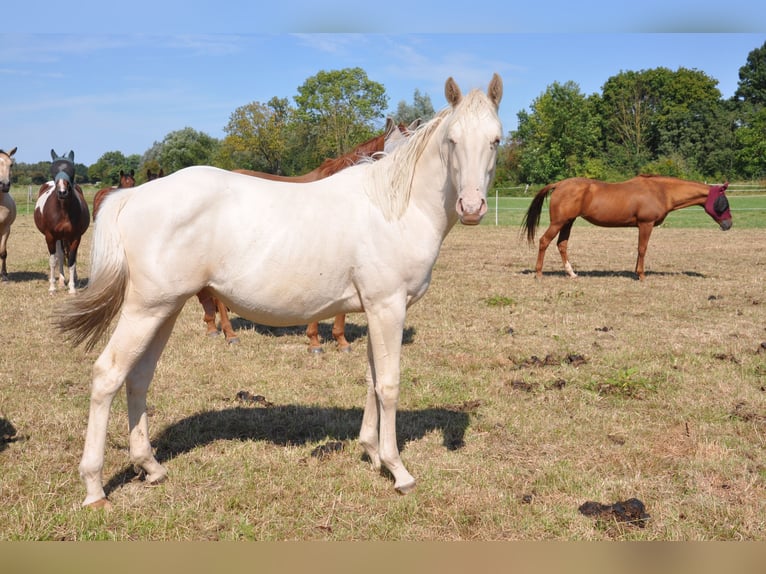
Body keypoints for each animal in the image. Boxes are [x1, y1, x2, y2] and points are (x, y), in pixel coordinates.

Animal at [34, 150, 91, 294]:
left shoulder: (75, 237)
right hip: (58, 238)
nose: (62, 192)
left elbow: (71, 260)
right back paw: (60, 281)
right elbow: (53, 260)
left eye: (72, 170)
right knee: (59, 255)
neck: (63, 211)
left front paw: (72, 288)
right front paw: (52, 288)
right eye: (53, 170)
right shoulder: (50, 237)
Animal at [521, 175, 733, 280]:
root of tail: (558, 184)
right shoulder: (646, 224)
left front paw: (635, 271)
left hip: (568, 222)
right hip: (558, 222)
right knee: (544, 241)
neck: (661, 191)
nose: (729, 224)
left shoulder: (642, 226)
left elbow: (639, 250)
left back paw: (572, 273)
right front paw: (641, 275)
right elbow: (642, 249)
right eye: (724, 202)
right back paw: (539, 274)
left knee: (562, 245)